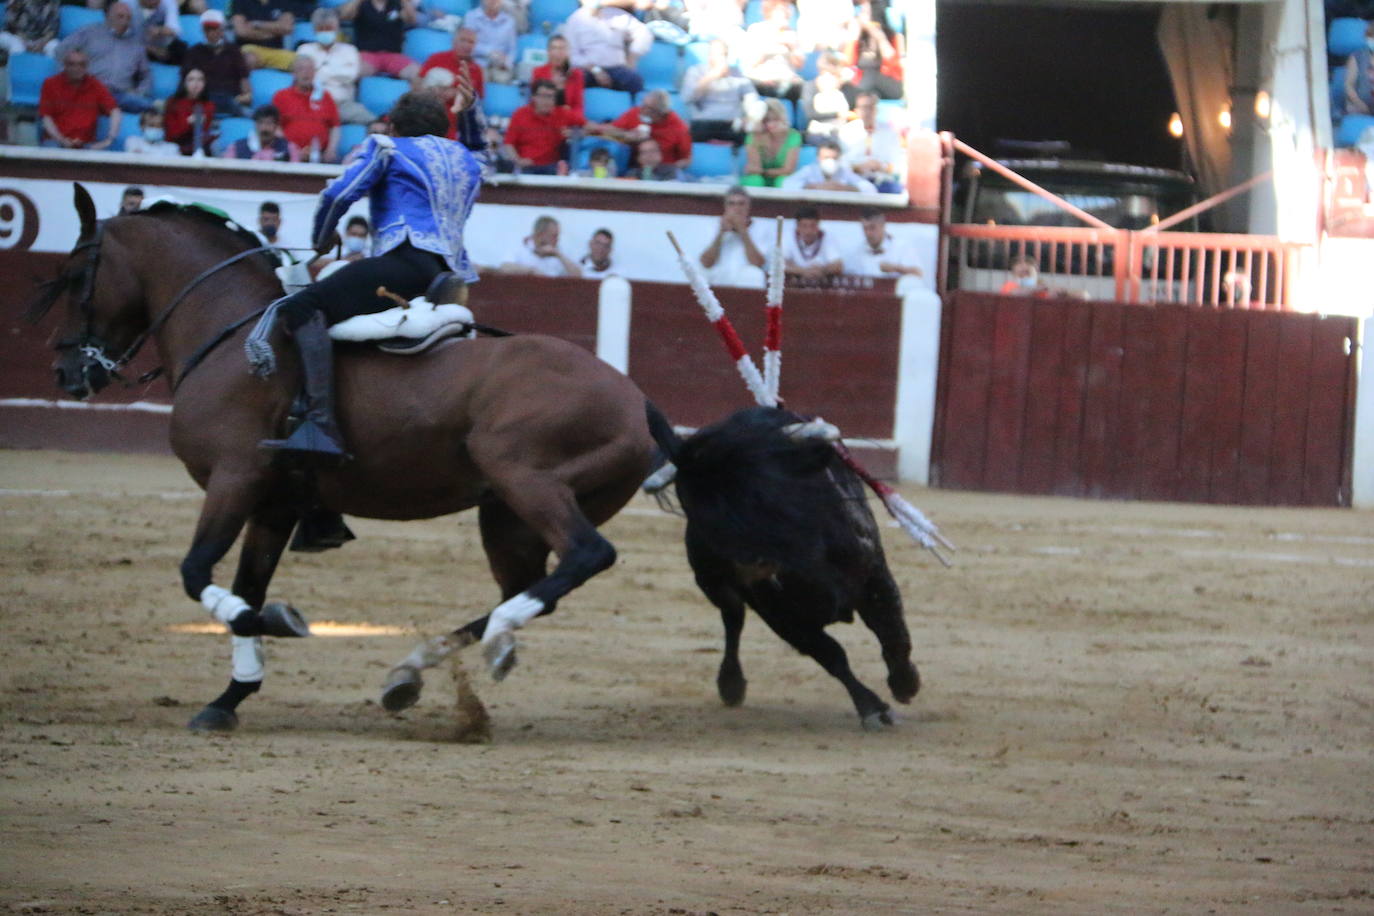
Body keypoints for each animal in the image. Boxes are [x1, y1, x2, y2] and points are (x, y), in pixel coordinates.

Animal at [28, 182, 659, 736]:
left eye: (76, 275)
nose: (65, 372)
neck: (226, 333)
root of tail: (633, 396)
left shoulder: (235, 479)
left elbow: (197, 572)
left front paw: (281, 624)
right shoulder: (275, 503)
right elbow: (246, 584)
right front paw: (229, 698)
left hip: (524, 480)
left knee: (586, 554)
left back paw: (484, 644)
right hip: (504, 515)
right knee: (529, 585)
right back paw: (417, 669)